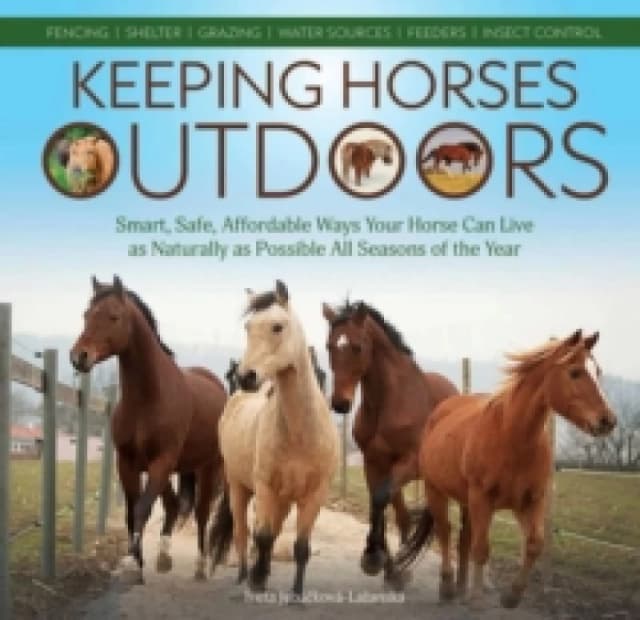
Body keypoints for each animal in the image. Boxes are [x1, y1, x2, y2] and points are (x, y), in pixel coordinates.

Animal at [70, 275, 226, 583]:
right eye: (86, 315)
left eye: (114, 316)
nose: (79, 356)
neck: (149, 398)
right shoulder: (128, 464)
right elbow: (132, 513)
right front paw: (137, 563)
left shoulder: (161, 461)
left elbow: (143, 509)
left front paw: (134, 564)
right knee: (174, 504)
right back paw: (164, 557)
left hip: (207, 468)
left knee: (202, 512)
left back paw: (201, 566)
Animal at [209, 280, 338, 599]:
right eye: (248, 326)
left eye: (277, 327)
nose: (246, 377)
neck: (300, 435)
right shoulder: (265, 488)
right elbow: (263, 536)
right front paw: (255, 581)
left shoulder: (313, 496)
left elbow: (300, 547)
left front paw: (296, 594)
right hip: (238, 487)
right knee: (243, 533)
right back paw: (245, 575)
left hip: (282, 500)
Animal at [322, 300, 458, 588]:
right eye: (329, 346)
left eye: (357, 346)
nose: (340, 403)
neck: (390, 402)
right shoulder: (374, 463)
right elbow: (379, 503)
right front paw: (381, 561)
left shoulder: (410, 463)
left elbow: (379, 499)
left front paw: (375, 557)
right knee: (405, 516)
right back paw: (400, 566)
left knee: (445, 525)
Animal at [392, 330, 617, 609]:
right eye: (575, 372)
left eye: (598, 371)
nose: (608, 420)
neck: (511, 438)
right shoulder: (482, 499)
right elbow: (481, 549)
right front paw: (477, 599)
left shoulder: (531, 501)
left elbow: (533, 545)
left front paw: (512, 595)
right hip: (438, 491)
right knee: (446, 532)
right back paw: (448, 586)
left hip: (467, 501)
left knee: (464, 539)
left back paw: (462, 585)